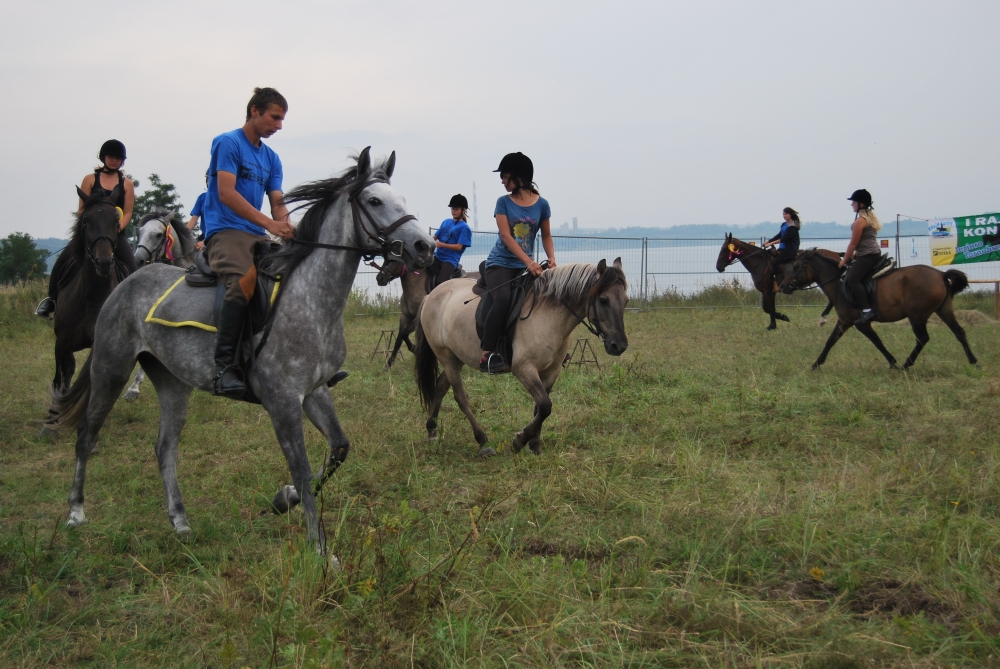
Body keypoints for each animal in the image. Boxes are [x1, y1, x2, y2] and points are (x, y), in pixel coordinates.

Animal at [48, 185, 130, 402]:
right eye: (86, 220)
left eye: (116, 221)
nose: (104, 262)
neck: (89, 297)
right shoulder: (61, 344)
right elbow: (60, 381)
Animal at [414, 259, 629, 456]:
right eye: (603, 300)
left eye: (626, 301)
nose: (619, 346)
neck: (549, 315)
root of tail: (431, 295)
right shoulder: (523, 368)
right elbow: (545, 406)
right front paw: (520, 440)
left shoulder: (551, 371)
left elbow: (540, 408)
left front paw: (534, 445)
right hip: (445, 354)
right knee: (460, 397)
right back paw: (482, 441)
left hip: (456, 356)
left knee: (441, 387)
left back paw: (432, 431)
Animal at [779, 248, 978, 370]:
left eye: (796, 267)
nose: (782, 286)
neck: (839, 283)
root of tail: (941, 274)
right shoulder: (844, 321)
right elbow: (830, 341)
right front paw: (815, 365)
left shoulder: (861, 324)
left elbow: (877, 342)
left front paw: (893, 363)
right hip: (944, 310)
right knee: (959, 332)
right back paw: (973, 361)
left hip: (917, 315)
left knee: (922, 338)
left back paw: (906, 365)